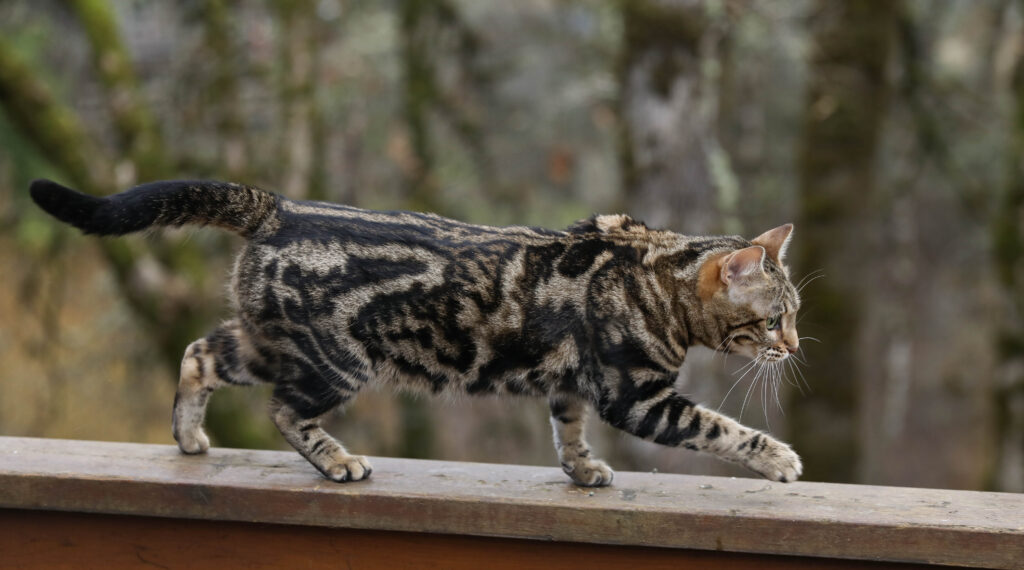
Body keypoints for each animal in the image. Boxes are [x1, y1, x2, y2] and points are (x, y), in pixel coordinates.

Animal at [29, 178, 806, 485]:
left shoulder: (572, 387)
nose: (795, 347)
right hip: (334, 360)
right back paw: (338, 462)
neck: (655, 274)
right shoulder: (635, 394)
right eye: (777, 318)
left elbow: (569, 431)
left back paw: (190, 438)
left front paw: (583, 472)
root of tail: (277, 208)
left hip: (262, 339)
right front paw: (778, 458)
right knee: (284, 411)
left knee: (199, 354)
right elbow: (723, 429)